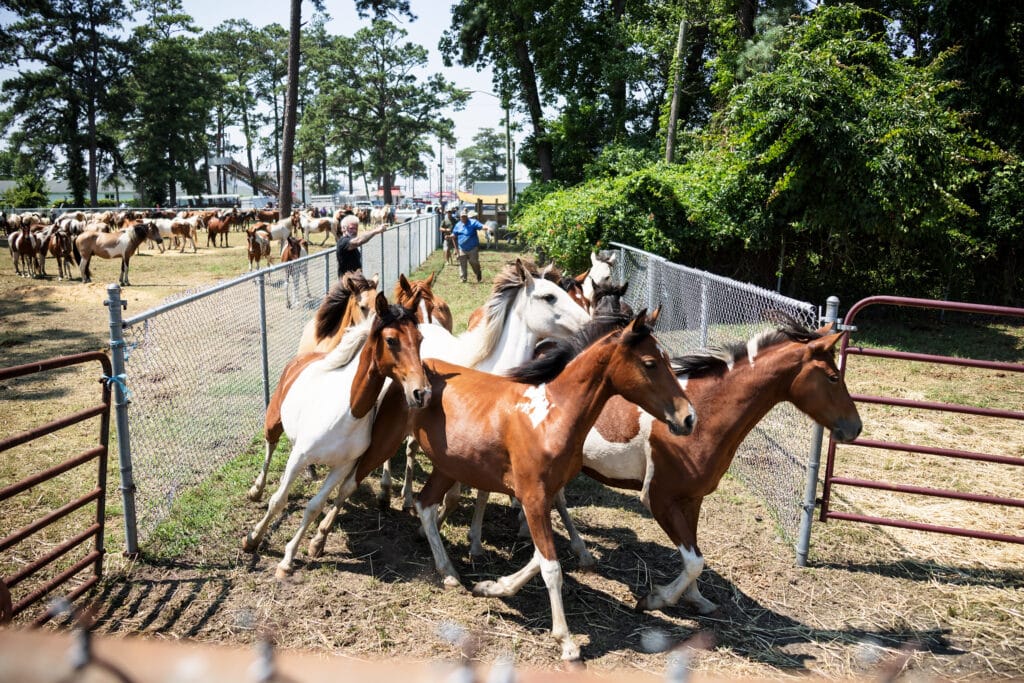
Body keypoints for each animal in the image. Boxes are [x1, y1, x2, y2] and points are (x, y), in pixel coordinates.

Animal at [241, 296, 430, 581]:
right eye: (391, 340)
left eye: (419, 339)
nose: (421, 393)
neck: (346, 413)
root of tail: (308, 356)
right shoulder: (298, 457)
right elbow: (278, 500)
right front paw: (252, 539)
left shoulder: (342, 467)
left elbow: (314, 507)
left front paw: (287, 560)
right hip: (273, 421)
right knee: (270, 447)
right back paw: (256, 490)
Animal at [339, 311, 692, 663]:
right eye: (650, 363)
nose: (688, 417)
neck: (551, 417)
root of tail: (414, 377)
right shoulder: (533, 498)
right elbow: (551, 568)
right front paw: (566, 642)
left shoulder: (543, 499)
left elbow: (539, 558)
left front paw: (492, 587)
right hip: (385, 442)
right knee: (352, 481)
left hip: (448, 466)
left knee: (426, 505)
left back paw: (449, 571)